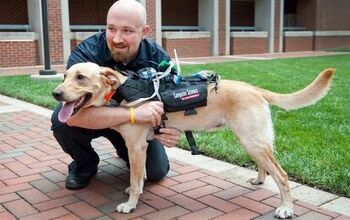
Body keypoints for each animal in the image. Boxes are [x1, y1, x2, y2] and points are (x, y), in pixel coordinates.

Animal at [51, 62, 334, 218]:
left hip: (253, 141)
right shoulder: (140, 148)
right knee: (266, 168)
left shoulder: (136, 147)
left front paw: (131, 204)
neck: (119, 91)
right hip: (251, 141)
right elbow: (139, 177)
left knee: (282, 176)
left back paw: (286, 209)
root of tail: (255, 88)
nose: (55, 93)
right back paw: (259, 180)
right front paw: (134, 193)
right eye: (64, 76)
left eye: (80, 77)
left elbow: (135, 177)